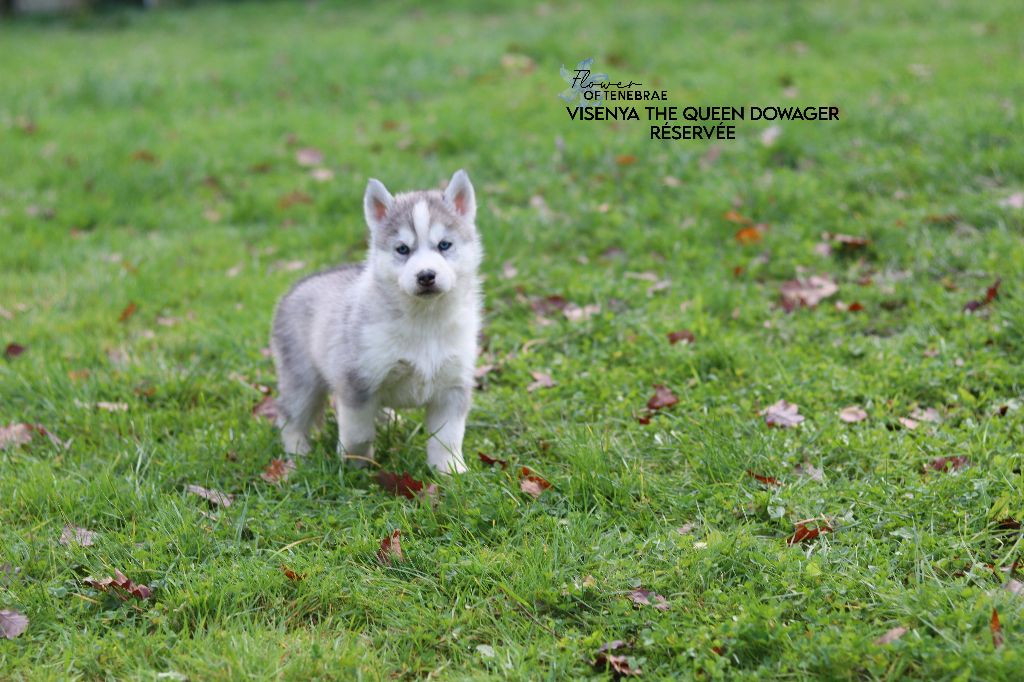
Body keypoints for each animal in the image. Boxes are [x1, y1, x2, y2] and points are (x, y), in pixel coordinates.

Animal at [269, 170, 481, 474]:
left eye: (444, 245)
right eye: (402, 249)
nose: (426, 276)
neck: (425, 320)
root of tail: (298, 285)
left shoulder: (452, 386)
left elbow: (448, 436)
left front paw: (450, 470)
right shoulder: (357, 383)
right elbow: (358, 433)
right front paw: (356, 467)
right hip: (303, 379)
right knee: (290, 415)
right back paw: (298, 453)